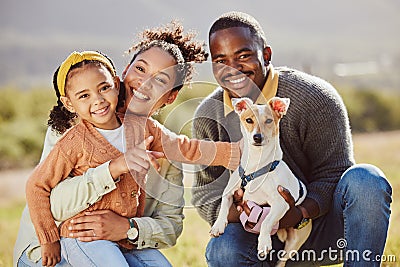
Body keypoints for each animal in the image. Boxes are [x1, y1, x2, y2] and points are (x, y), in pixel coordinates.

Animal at [211, 97, 310, 266]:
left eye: (269, 120)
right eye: (248, 120)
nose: (257, 137)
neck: (256, 165)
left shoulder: (281, 203)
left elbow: (266, 222)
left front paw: (264, 242)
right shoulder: (229, 192)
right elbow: (223, 207)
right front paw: (218, 225)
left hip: (293, 243)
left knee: (282, 260)